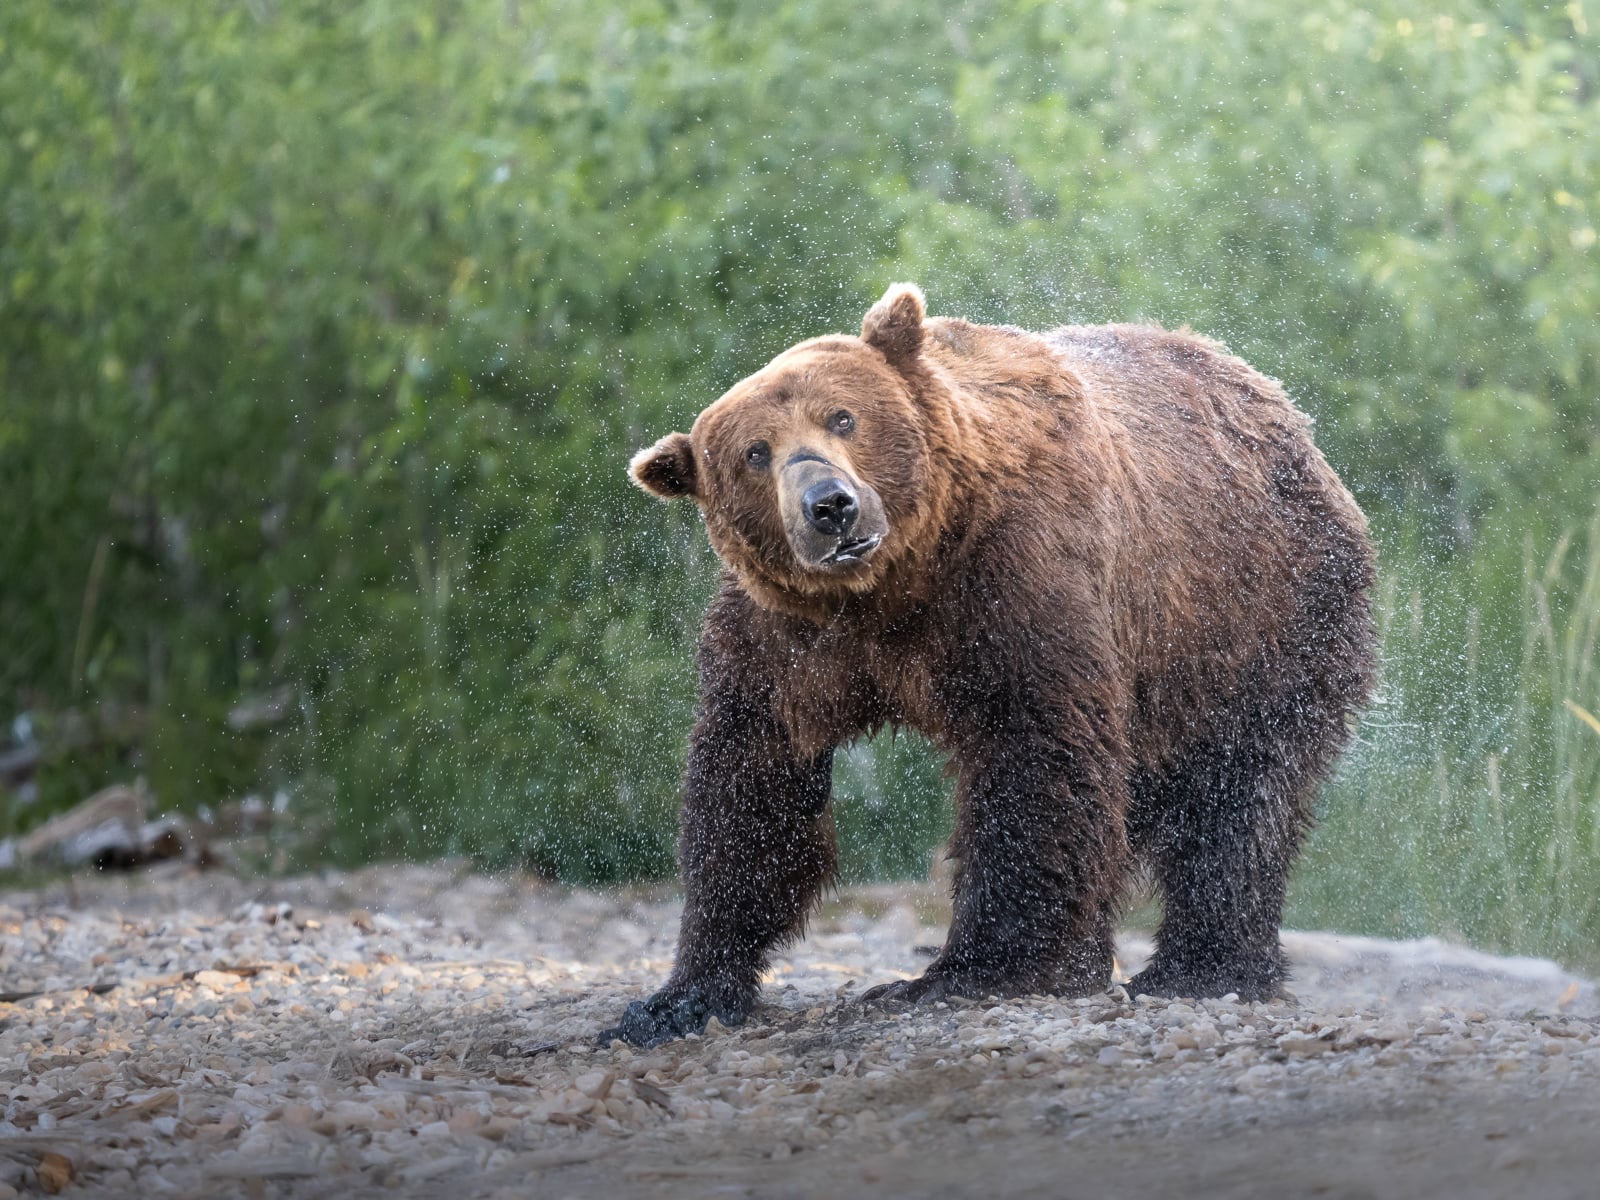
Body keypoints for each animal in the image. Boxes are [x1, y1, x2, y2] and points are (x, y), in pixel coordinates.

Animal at [600, 284, 1376, 1047]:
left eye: (842, 417)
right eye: (755, 453)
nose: (830, 506)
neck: (891, 588)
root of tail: (1284, 412)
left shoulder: (1013, 575)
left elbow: (1033, 752)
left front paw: (965, 969)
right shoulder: (784, 639)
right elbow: (751, 785)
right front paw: (676, 999)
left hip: (1258, 616)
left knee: (1239, 794)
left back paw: (1202, 969)